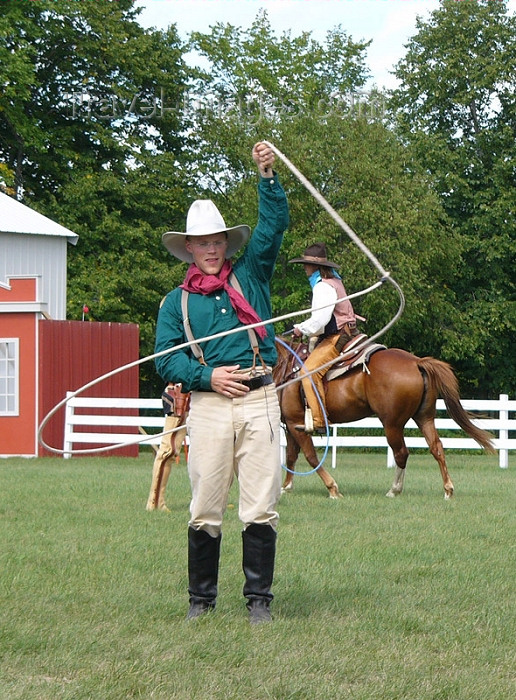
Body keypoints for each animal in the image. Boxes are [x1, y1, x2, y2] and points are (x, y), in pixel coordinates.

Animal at [272, 338, 494, 498]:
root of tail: (416, 362)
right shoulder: (292, 425)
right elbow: (291, 456)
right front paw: (286, 487)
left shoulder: (295, 422)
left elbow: (311, 457)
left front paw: (332, 488)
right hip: (424, 418)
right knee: (436, 447)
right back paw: (447, 489)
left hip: (392, 424)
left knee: (401, 453)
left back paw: (394, 490)